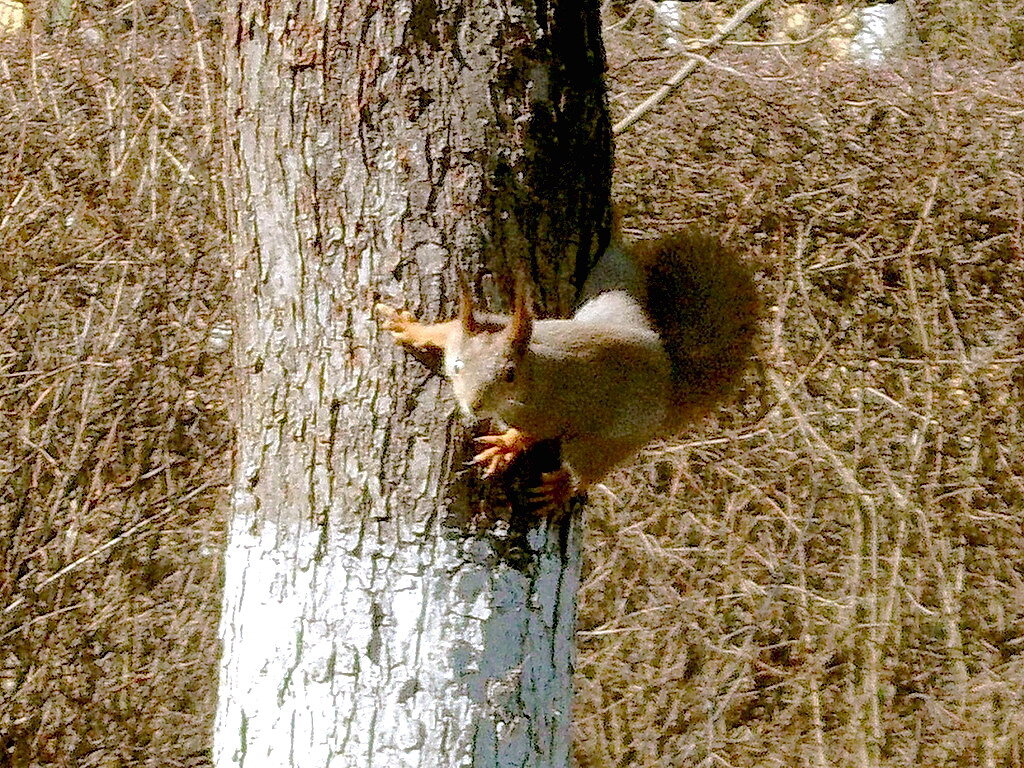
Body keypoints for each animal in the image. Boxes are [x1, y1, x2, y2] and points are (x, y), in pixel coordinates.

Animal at [376, 224, 761, 512]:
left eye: (509, 374)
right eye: (457, 366)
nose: (475, 405)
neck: (534, 367)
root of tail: (667, 380)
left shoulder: (548, 411)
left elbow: (532, 434)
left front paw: (506, 447)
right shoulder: (474, 328)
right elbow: (444, 330)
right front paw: (410, 328)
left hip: (609, 439)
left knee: (586, 470)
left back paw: (561, 486)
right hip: (610, 300)